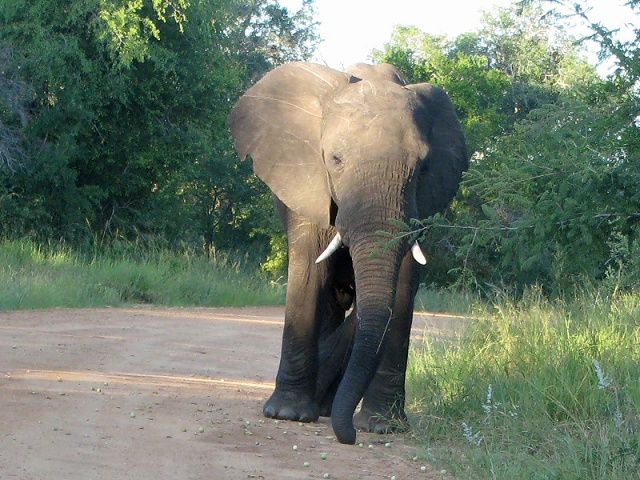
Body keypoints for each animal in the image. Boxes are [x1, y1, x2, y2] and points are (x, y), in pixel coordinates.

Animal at [228, 62, 468, 444]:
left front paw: (384, 426)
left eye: (423, 166)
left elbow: (403, 286)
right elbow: (310, 272)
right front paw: (286, 415)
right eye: (336, 159)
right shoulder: (308, 183)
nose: (350, 436)